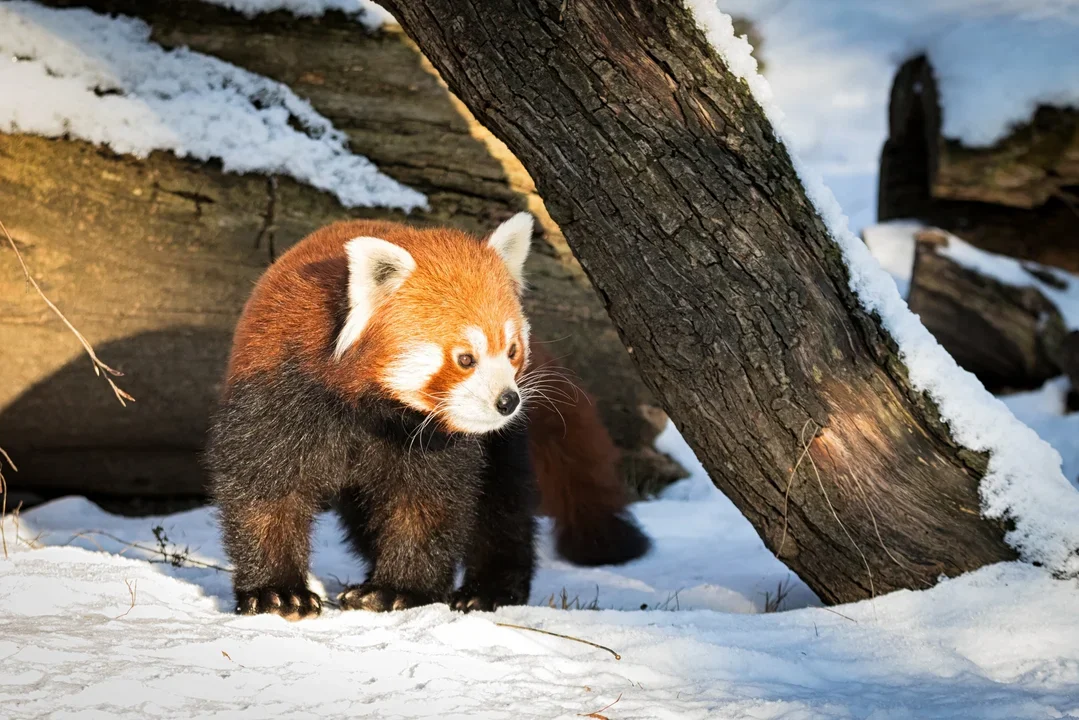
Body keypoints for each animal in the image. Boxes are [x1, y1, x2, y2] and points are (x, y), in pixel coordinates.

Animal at [206, 213, 647, 621]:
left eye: (511, 351)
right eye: (465, 359)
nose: (508, 401)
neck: (368, 407)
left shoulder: (430, 437)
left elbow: (427, 503)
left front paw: (397, 591)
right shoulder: (280, 394)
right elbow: (265, 489)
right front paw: (278, 593)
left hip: (503, 444)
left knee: (502, 504)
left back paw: (489, 590)